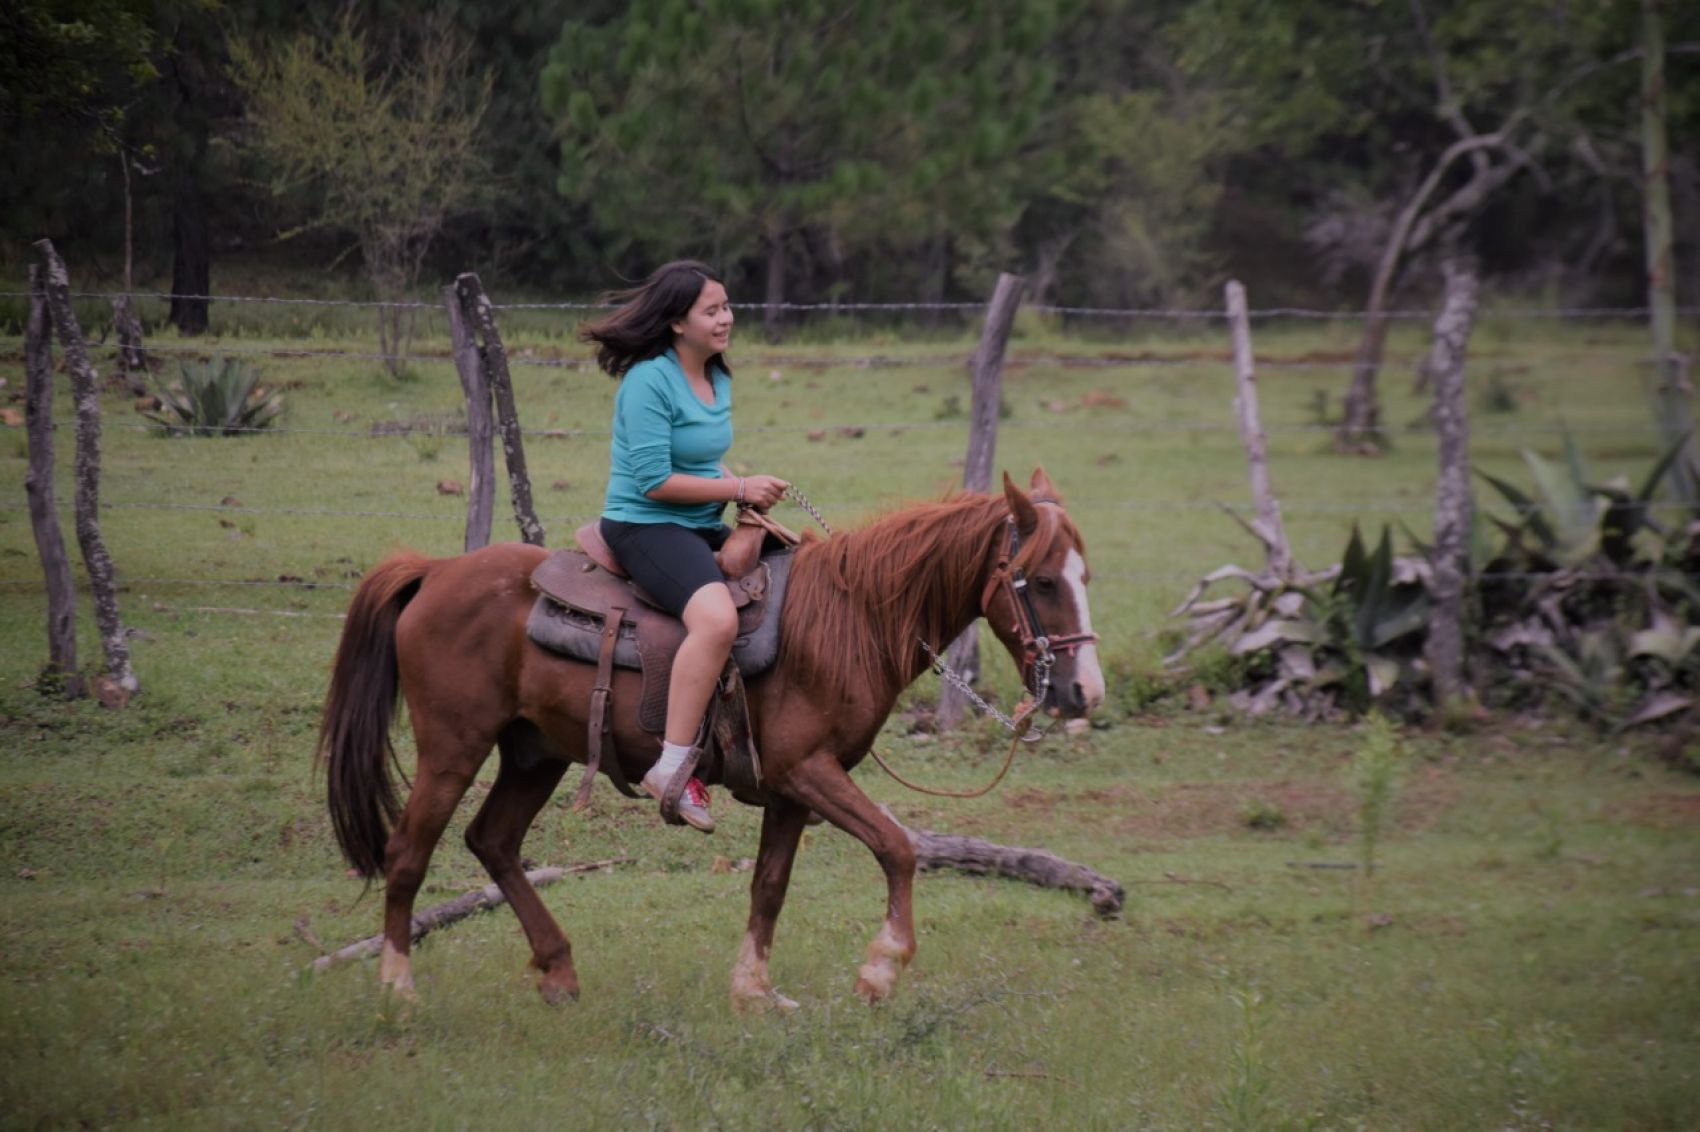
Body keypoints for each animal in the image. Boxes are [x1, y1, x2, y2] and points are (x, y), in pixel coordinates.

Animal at [321, 465, 1101, 1006]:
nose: (1082, 692)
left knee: (493, 842)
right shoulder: (808, 770)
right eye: (1040, 580)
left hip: (533, 754)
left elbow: (770, 885)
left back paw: (559, 970)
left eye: (1085, 575)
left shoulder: (790, 792)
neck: (850, 619)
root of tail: (434, 573)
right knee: (408, 854)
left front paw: (754, 990)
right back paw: (398, 987)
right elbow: (898, 847)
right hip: (453, 749)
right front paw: (881, 967)